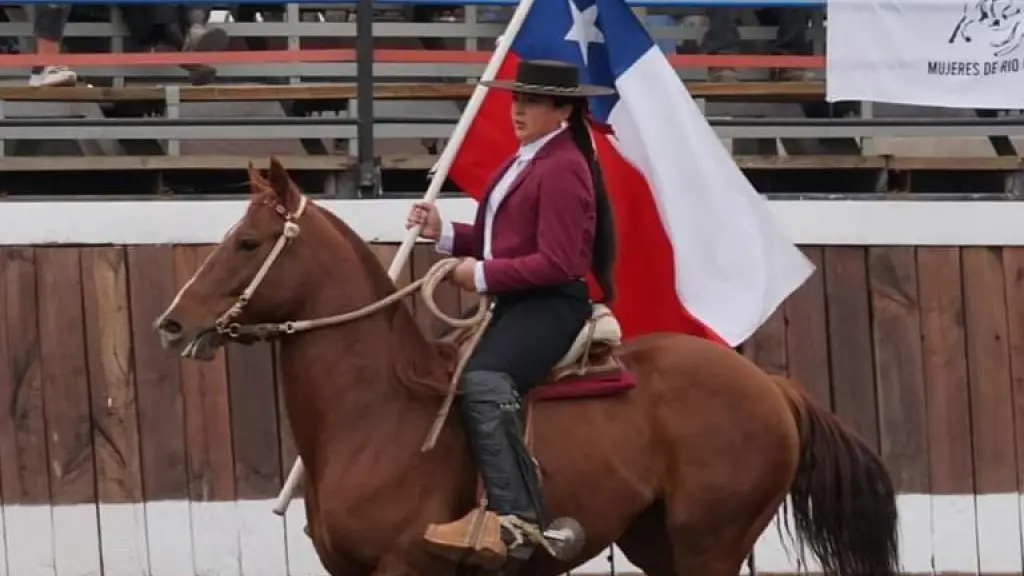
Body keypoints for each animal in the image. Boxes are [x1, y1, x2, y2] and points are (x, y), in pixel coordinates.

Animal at [153, 157, 897, 573]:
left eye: (248, 243)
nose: (173, 322)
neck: (376, 414)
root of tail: (772, 386)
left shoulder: (403, 565)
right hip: (656, 542)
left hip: (709, 541)